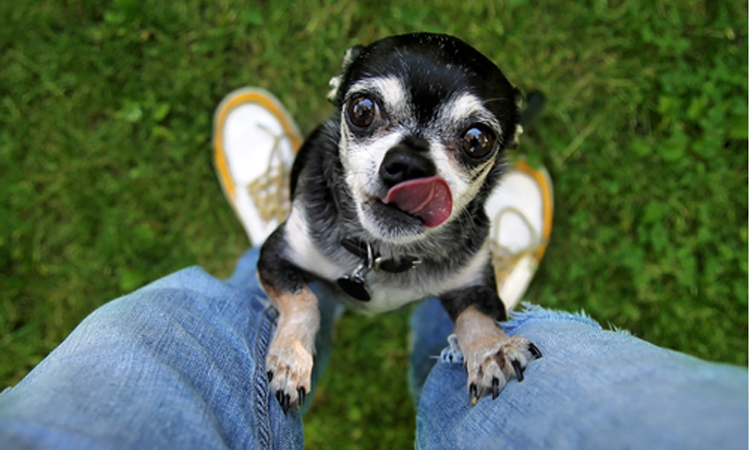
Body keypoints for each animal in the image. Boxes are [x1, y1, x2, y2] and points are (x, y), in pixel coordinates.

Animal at [258, 33, 542, 413]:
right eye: (362, 110)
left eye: (477, 140)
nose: (409, 163)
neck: (384, 253)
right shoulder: (276, 256)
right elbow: (303, 300)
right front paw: (292, 359)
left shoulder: (473, 286)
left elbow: (476, 316)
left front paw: (491, 350)